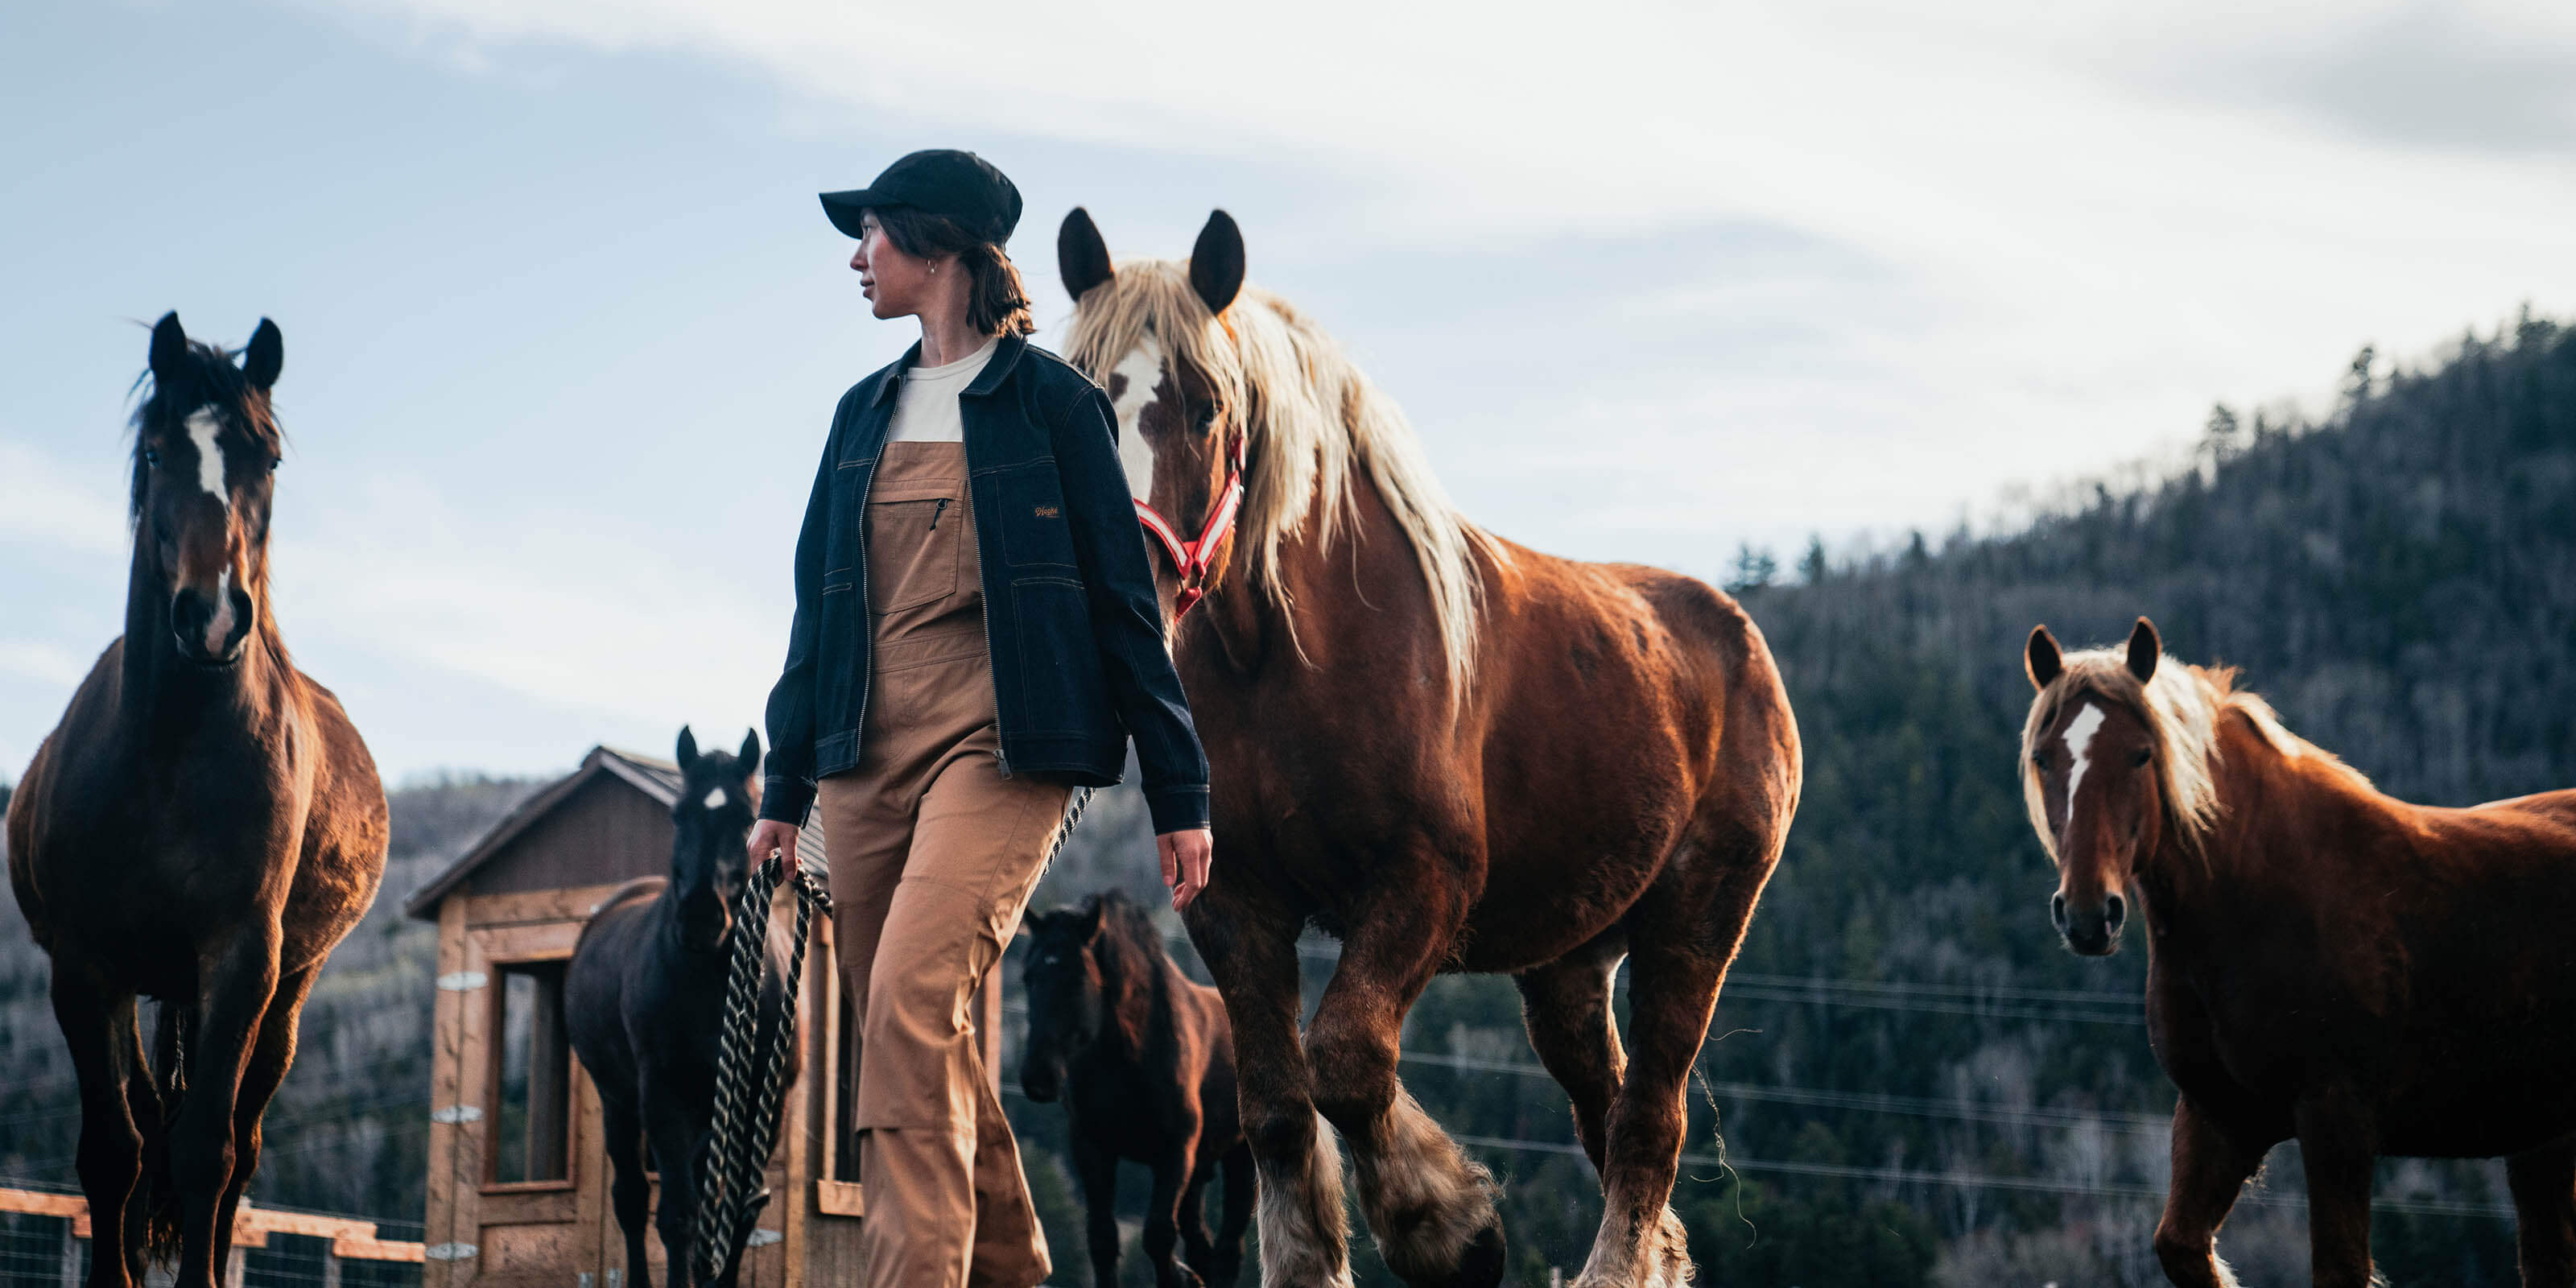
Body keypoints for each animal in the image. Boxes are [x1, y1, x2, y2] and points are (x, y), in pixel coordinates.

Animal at [7, 312, 389, 1288]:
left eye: (271, 457)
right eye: (154, 453)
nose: (211, 618)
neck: (168, 759)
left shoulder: (242, 962)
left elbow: (206, 1154)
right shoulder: (85, 967)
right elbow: (115, 1151)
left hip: (287, 995)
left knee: (239, 1148)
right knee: (145, 1124)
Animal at [567, 731, 788, 1288]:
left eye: (747, 815)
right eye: (678, 814)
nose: (701, 917)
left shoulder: (764, 1101)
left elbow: (740, 1212)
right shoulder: (662, 1095)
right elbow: (677, 1218)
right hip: (619, 1100)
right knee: (632, 1199)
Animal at [1014, 896, 1246, 1288]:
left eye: (1078, 978)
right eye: (1028, 977)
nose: (1038, 1077)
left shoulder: (1175, 1152)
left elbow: (1158, 1236)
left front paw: (1176, 1278)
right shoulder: (1093, 1150)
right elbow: (1102, 1239)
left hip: (1240, 1158)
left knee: (1229, 1249)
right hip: (1198, 1174)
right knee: (1201, 1242)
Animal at [1056, 211, 1803, 1288]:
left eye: (1204, 409)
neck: (1287, 660)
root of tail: (1739, 637)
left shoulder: (1423, 882)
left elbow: (1345, 1058)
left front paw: (1453, 1230)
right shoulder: (1233, 901)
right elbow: (1278, 1106)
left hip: (1696, 921)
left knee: (1648, 1122)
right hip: (1568, 969)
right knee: (1608, 1113)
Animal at [2019, 618, 2576, 1288]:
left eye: (2141, 754)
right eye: (2043, 758)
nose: (2086, 915)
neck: (2259, 896)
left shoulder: (2338, 1122)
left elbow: (2338, 1267)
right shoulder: (2219, 1116)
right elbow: (2181, 1247)